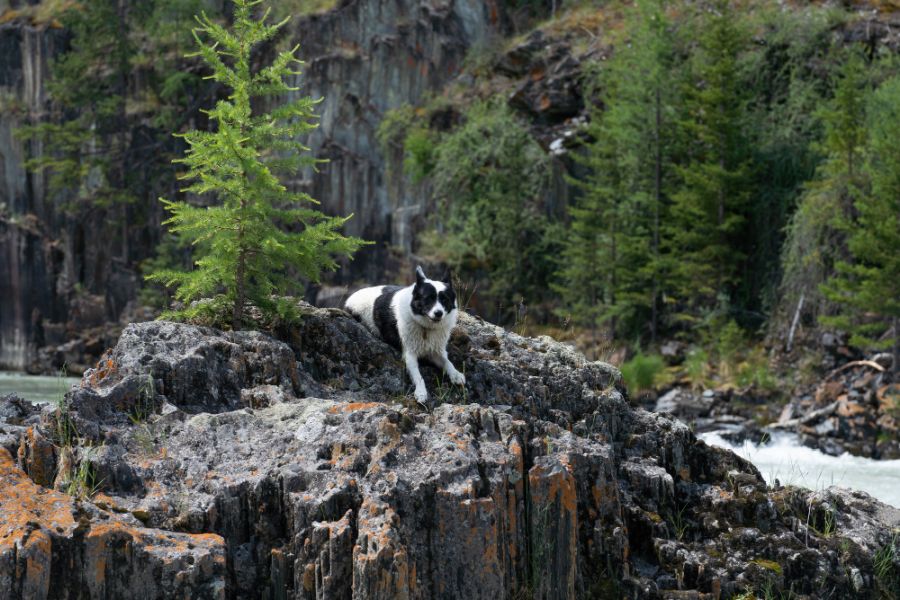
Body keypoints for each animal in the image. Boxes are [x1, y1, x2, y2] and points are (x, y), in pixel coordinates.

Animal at [342, 266, 464, 404]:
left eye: (445, 299)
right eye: (428, 298)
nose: (438, 313)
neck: (426, 328)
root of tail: (351, 297)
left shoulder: (435, 352)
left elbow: (447, 362)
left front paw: (456, 374)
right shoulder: (409, 355)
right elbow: (418, 376)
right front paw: (421, 392)